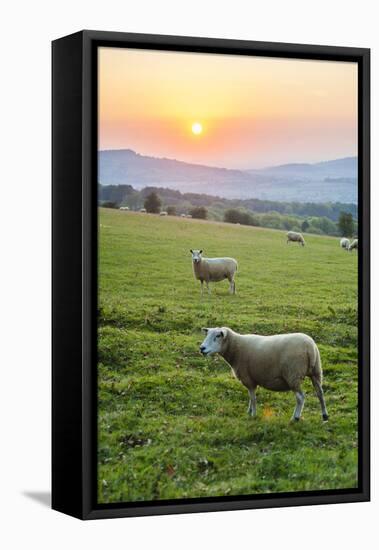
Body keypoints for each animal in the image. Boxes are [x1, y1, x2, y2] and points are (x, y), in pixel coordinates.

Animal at [200, 328, 328, 422]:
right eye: (207, 334)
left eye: (217, 336)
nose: (202, 348)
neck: (236, 348)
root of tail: (309, 348)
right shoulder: (251, 380)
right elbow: (250, 397)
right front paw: (249, 411)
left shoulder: (248, 378)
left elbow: (253, 398)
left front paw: (253, 414)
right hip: (316, 372)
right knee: (320, 393)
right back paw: (325, 416)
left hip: (293, 374)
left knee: (300, 397)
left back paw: (295, 418)